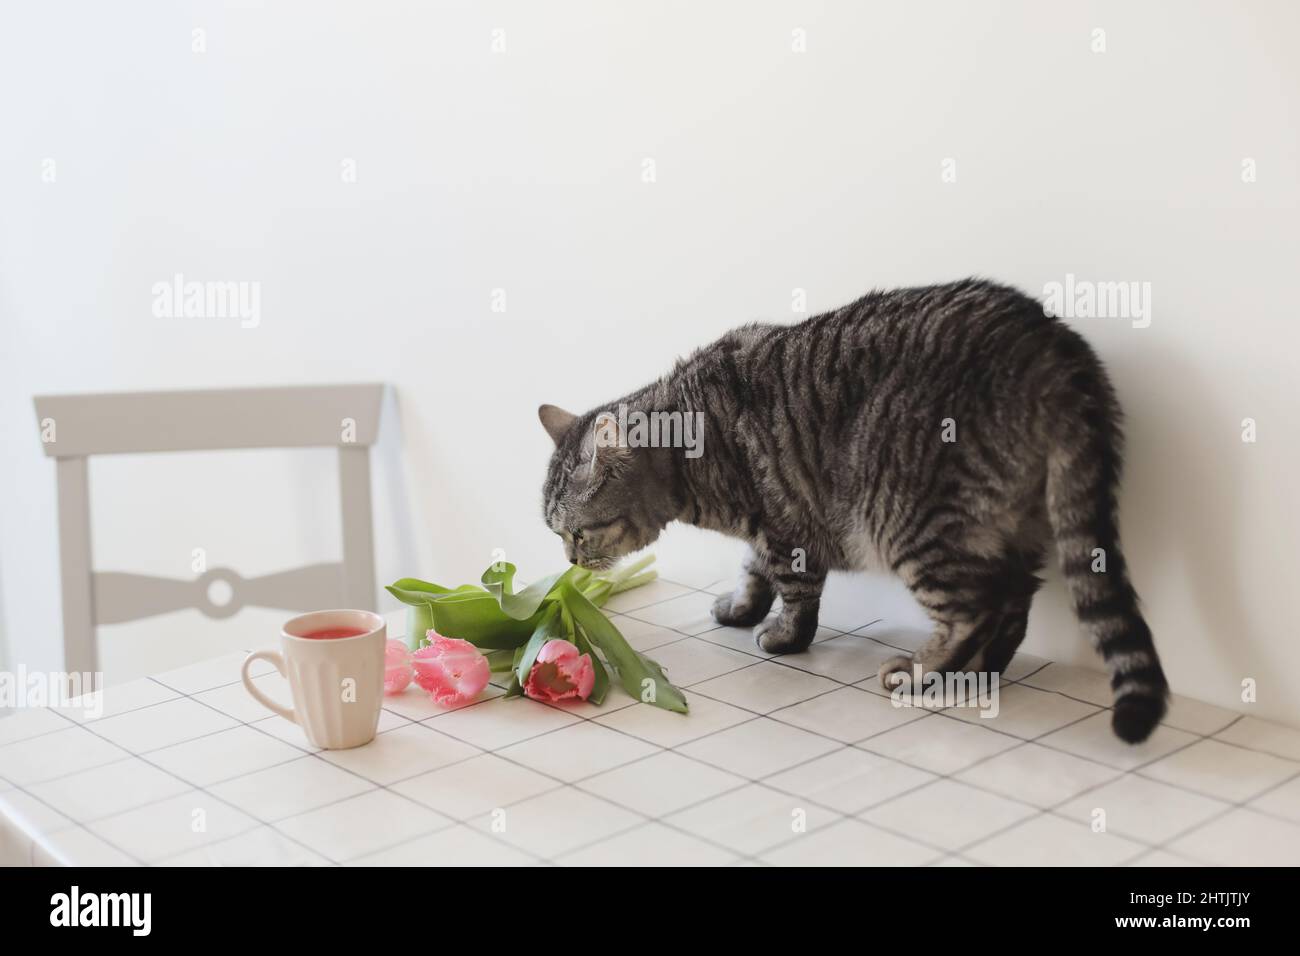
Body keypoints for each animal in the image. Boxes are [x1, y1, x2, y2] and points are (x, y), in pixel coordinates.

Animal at [543, 280, 1175, 743]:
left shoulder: (783, 523)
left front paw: (782, 636)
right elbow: (753, 571)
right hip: (1015, 528)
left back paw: (922, 672)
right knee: (1014, 605)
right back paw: (980, 672)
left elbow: (794, 591)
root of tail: (1053, 348)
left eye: (578, 534)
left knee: (975, 610)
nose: (568, 562)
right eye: (556, 534)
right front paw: (743, 607)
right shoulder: (764, 527)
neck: (688, 438)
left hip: (913, 524)